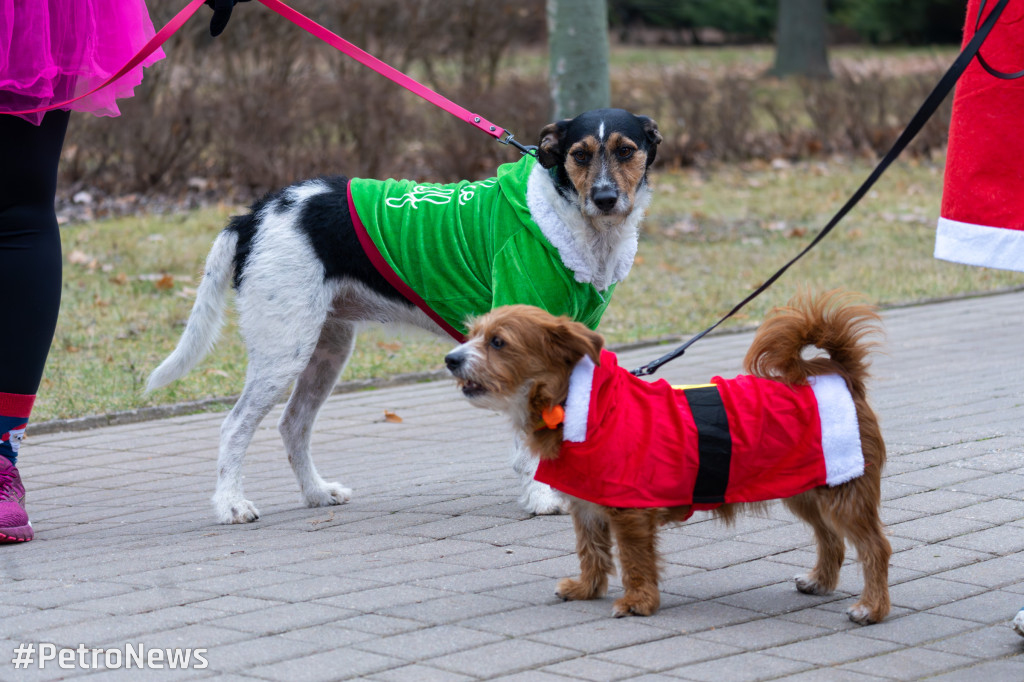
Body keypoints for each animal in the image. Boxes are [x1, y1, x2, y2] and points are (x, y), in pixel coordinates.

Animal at [148, 107, 663, 520]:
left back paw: (316, 493)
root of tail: (253, 216)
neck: (573, 223)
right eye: (579, 154)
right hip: (283, 350)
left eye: (625, 150)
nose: (604, 199)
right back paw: (231, 505)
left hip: (327, 348)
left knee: (292, 425)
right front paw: (539, 498)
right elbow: (528, 445)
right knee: (235, 426)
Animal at [446, 292, 888, 622]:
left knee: (874, 548)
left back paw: (872, 608)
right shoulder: (587, 507)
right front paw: (587, 588)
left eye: (498, 342)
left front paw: (638, 602)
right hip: (808, 490)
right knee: (830, 539)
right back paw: (821, 581)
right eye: (472, 334)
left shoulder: (630, 512)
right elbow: (591, 550)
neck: (579, 404)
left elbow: (635, 559)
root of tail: (839, 376)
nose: (451, 359)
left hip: (844, 494)